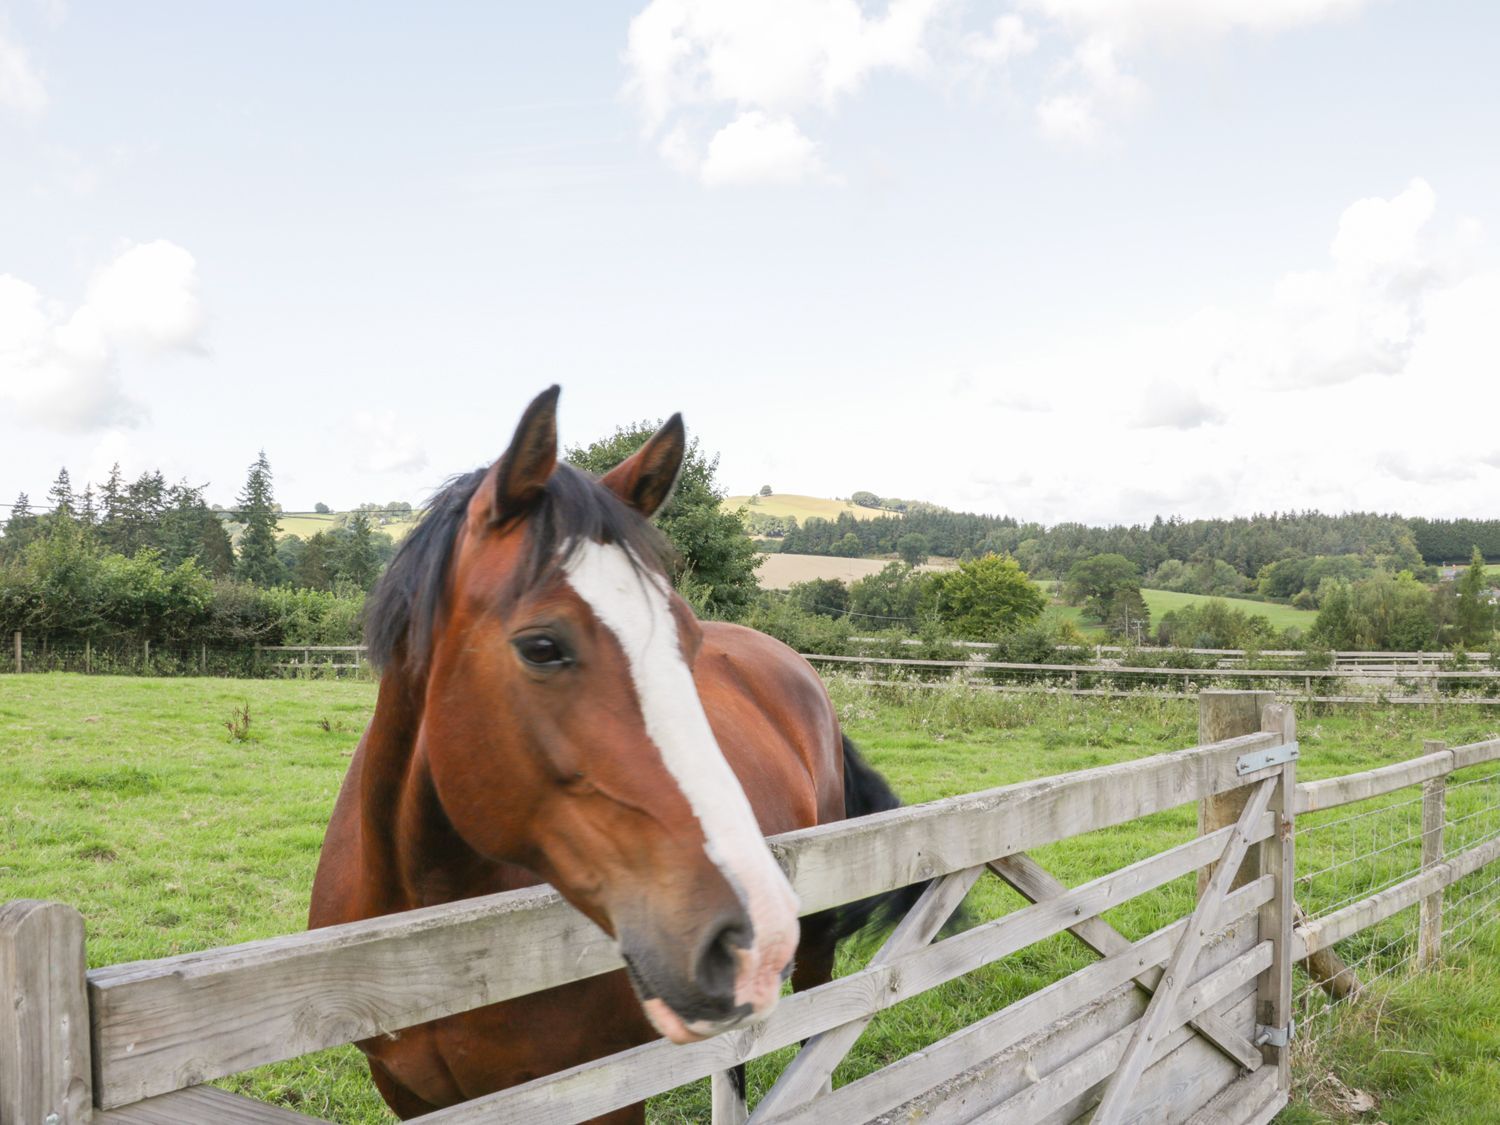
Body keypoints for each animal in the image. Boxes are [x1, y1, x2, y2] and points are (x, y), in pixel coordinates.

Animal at [309, 390, 906, 1125]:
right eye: (542, 646)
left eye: (687, 635)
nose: (748, 933)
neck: (430, 936)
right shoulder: (410, 1096)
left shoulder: (602, 1096)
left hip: (816, 940)